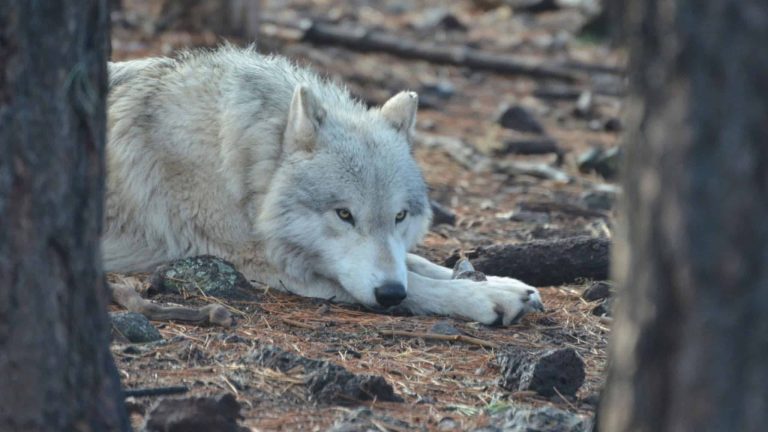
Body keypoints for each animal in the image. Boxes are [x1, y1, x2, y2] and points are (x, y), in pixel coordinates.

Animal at [104, 46, 544, 326]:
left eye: (400, 216)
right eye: (344, 215)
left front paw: (504, 283)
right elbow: (418, 285)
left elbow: (417, 263)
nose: (389, 294)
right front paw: (486, 298)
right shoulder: (267, 265)